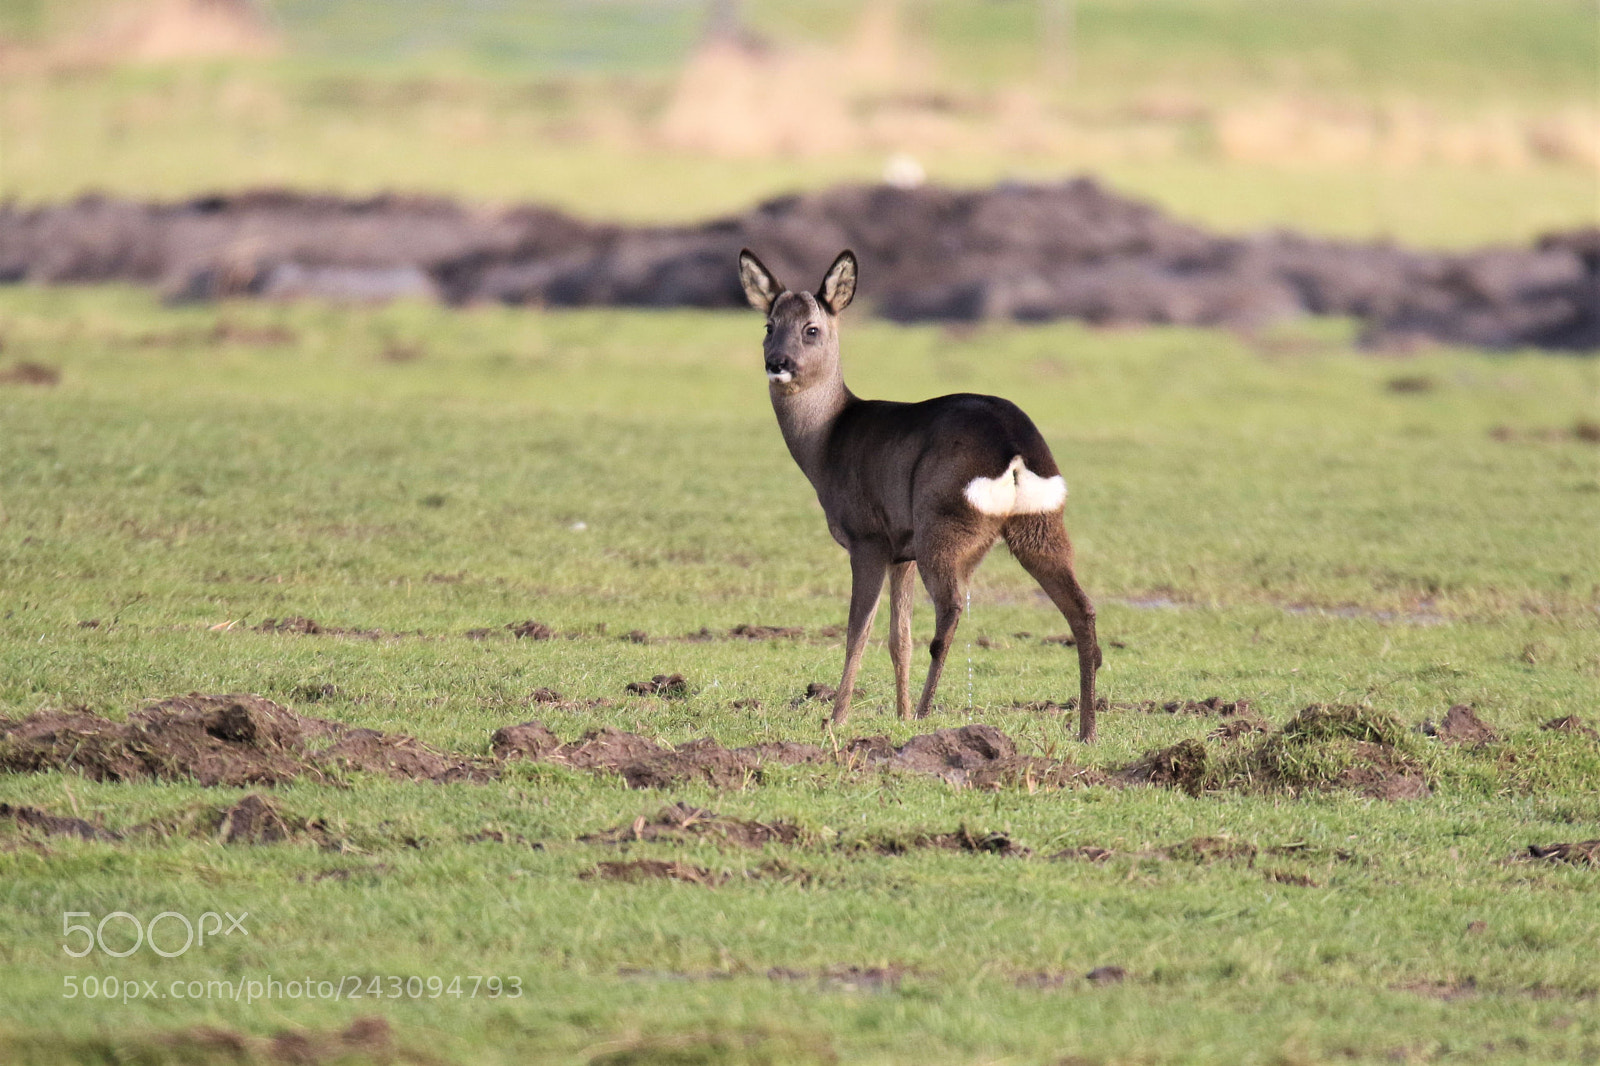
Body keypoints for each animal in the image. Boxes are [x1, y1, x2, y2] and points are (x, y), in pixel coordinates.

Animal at [738, 248, 1103, 742]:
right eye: (768, 325)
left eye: (811, 329)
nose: (778, 362)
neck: (828, 440)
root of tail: (1015, 447)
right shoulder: (901, 550)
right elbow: (899, 638)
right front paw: (899, 712)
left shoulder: (868, 538)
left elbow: (858, 631)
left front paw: (839, 717)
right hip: (1039, 523)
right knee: (1082, 610)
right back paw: (1086, 730)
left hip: (944, 523)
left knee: (950, 612)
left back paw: (929, 715)